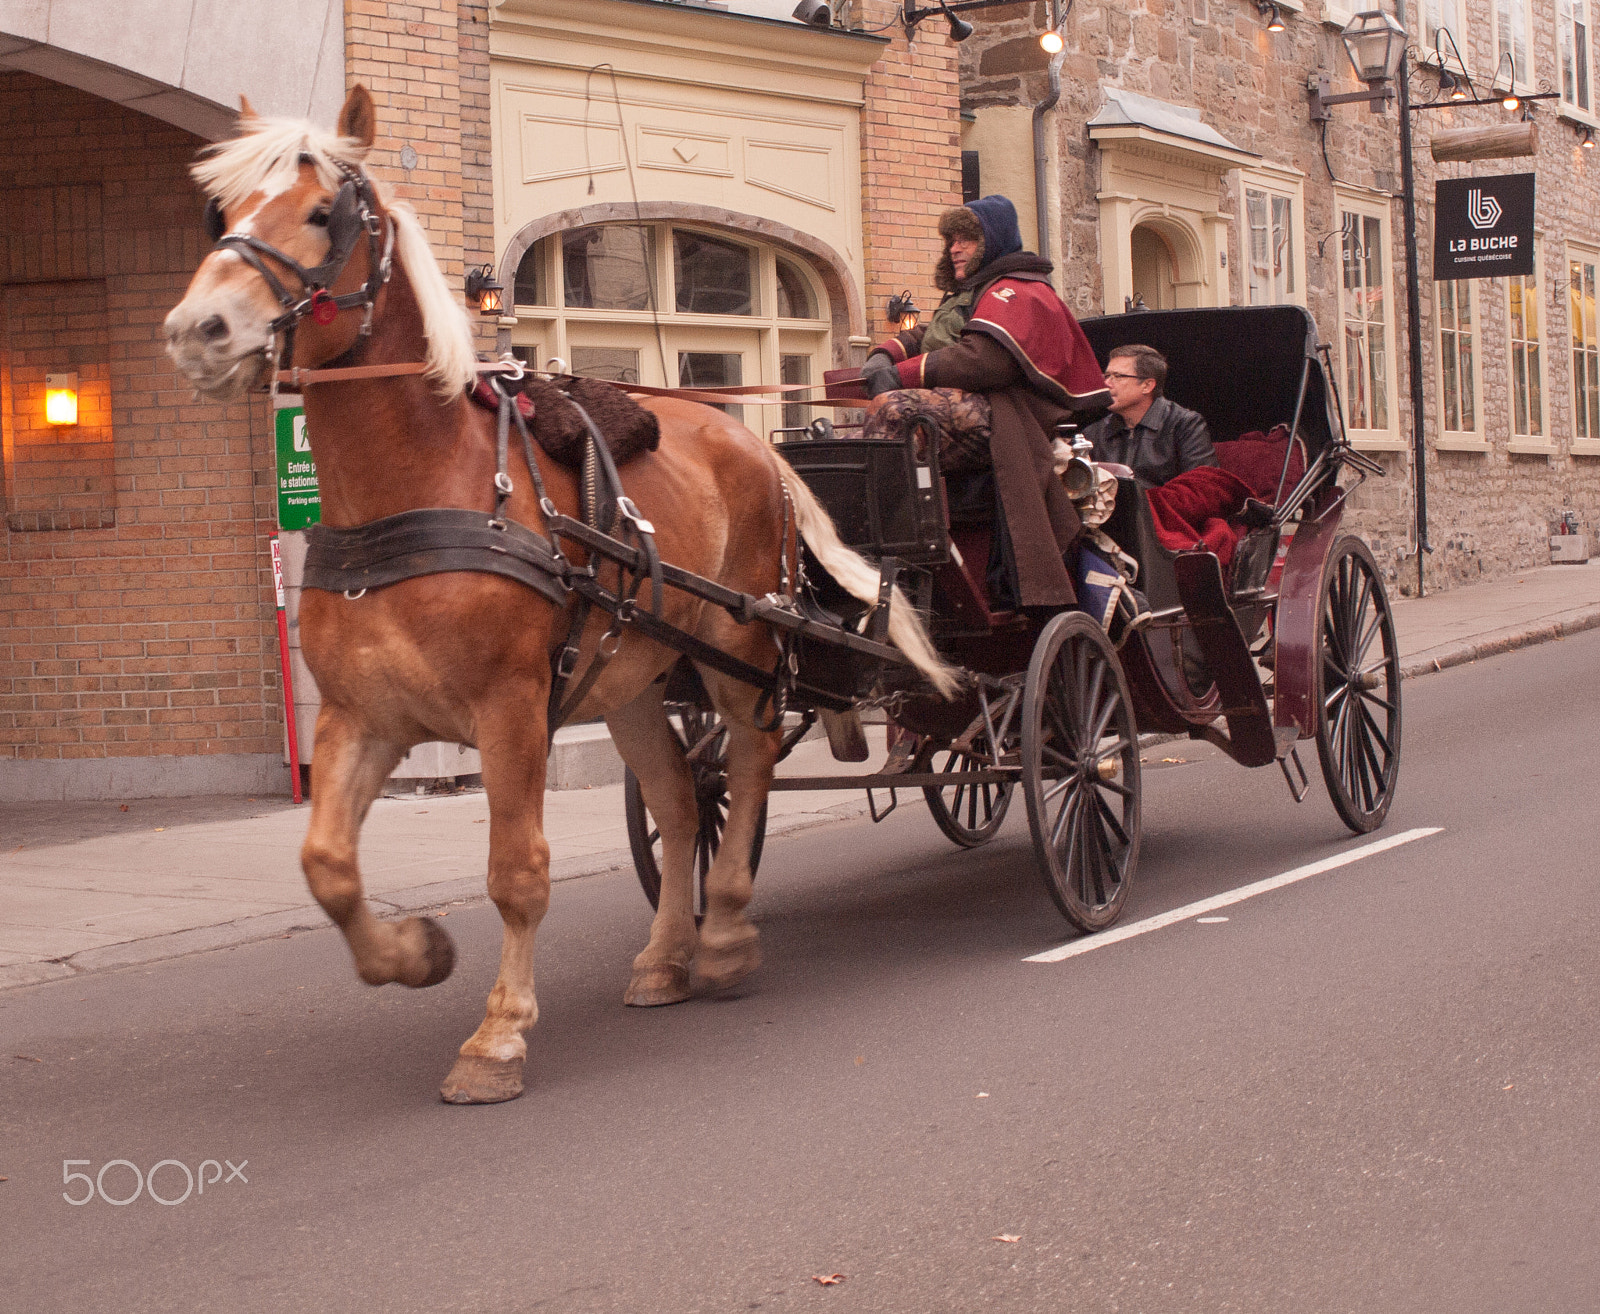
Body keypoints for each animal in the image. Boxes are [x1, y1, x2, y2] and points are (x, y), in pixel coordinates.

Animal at [160, 87, 947, 1101]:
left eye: (324, 214)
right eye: (219, 211)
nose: (199, 328)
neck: (416, 489)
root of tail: (758, 440)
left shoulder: (512, 707)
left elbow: (517, 871)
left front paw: (498, 1036)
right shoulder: (362, 714)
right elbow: (327, 865)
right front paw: (416, 953)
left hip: (736, 654)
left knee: (750, 763)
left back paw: (727, 931)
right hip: (636, 678)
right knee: (682, 799)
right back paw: (666, 957)